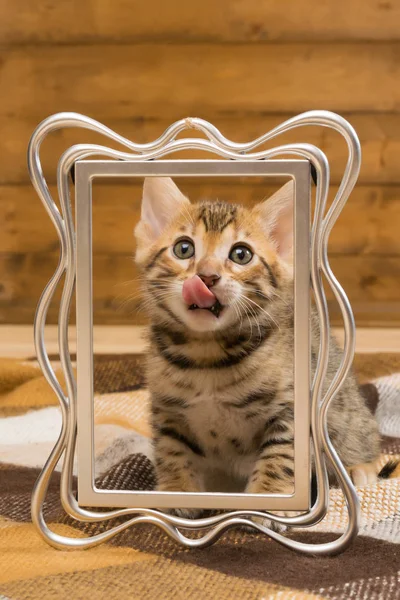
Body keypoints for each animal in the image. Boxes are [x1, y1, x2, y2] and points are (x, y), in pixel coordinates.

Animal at [134, 175, 378, 516]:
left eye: (241, 254)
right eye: (184, 248)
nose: (206, 276)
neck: (206, 354)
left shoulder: (291, 406)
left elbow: (281, 454)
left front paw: (271, 496)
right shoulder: (167, 407)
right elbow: (172, 449)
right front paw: (176, 491)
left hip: (344, 412)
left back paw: (360, 469)